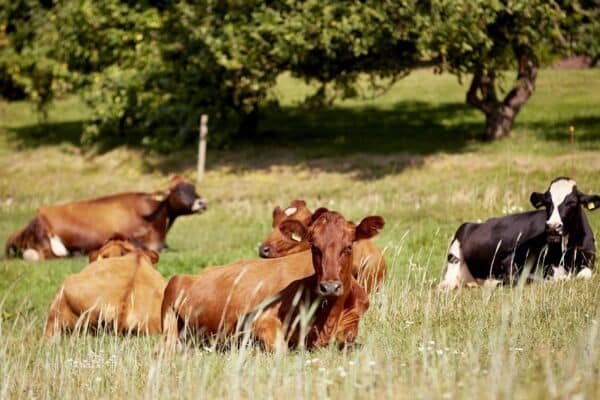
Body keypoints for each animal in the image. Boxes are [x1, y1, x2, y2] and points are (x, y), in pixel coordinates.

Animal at [158, 209, 380, 354]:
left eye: (349, 247)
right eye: (314, 247)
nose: (330, 286)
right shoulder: (260, 320)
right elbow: (280, 350)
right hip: (173, 294)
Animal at [436, 177, 600, 290]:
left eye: (572, 203)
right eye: (547, 203)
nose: (553, 226)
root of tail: (473, 224)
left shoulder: (589, 259)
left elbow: (582, 276)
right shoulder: (509, 261)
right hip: (454, 258)